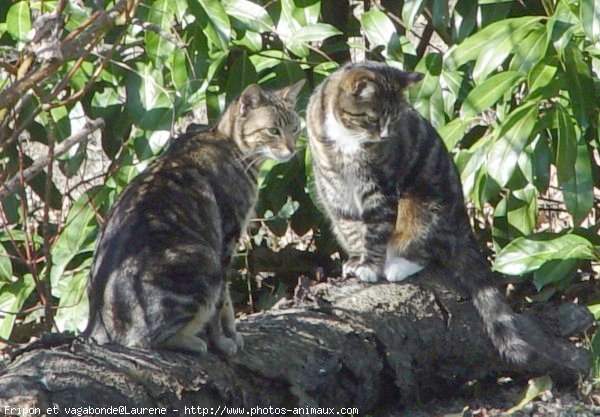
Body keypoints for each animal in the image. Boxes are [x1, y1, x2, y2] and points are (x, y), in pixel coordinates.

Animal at [84, 80, 304, 354]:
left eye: (295, 128)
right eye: (273, 130)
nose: (292, 149)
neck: (230, 144)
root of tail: (96, 323)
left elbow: (226, 302)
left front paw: (232, 334)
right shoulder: (227, 239)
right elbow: (222, 303)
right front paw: (223, 341)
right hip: (204, 261)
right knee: (146, 340)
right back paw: (193, 341)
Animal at [310, 61, 536, 364]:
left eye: (393, 120)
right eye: (372, 118)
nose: (384, 136)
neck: (346, 141)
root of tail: (464, 228)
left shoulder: (380, 187)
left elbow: (375, 229)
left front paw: (370, 266)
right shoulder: (335, 189)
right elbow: (350, 227)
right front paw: (357, 260)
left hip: (421, 207)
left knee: (426, 249)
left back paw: (396, 265)